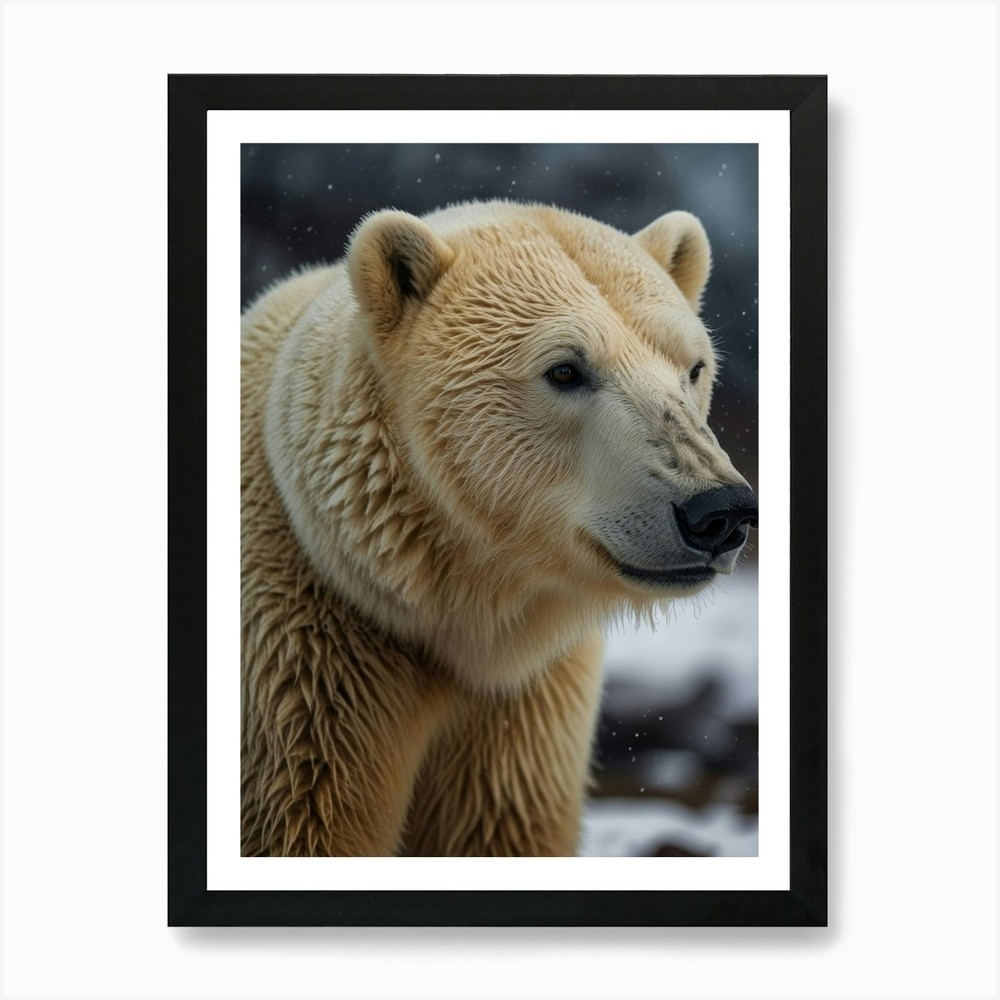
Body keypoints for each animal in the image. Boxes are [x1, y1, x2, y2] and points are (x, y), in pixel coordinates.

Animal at [240, 199, 757, 857]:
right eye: (564, 370)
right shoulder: (307, 669)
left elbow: (502, 821)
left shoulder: (526, 704)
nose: (718, 511)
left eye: (693, 367)